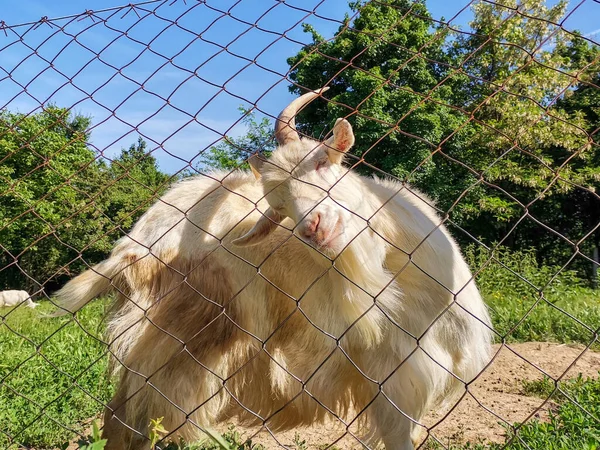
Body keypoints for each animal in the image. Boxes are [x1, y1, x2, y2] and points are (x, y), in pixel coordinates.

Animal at [54, 88, 492, 450]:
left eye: (322, 163)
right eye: (279, 207)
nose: (315, 227)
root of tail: (135, 243)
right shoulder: (394, 383)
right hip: (180, 344)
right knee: (130, 421)